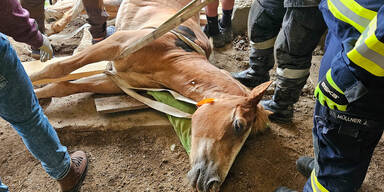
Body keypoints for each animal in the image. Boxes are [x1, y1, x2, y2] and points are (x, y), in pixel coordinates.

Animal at [29, 0, 270, 191]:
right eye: (238, 125)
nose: (213, 183)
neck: (172, 55)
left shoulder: (115, 80)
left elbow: (63, 87)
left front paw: (39, 96)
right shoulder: (115, 44)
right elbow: (56, 68)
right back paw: (53, 24)